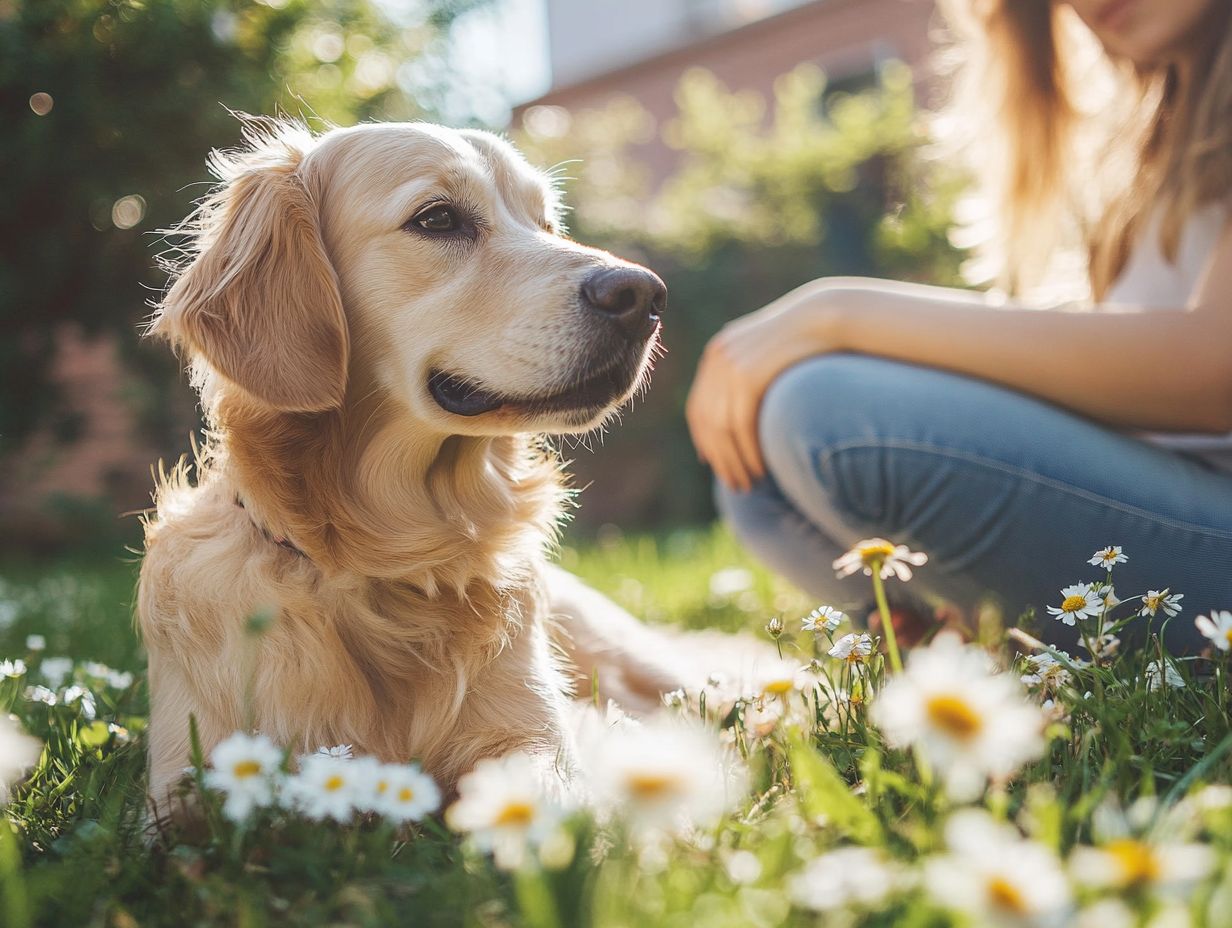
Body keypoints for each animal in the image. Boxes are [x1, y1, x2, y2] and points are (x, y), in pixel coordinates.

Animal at [138, 117, 729, 818]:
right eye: (439, 218)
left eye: (548, 223)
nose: (644, 295)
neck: (397, 557)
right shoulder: (182, 780)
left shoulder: (535, 737)